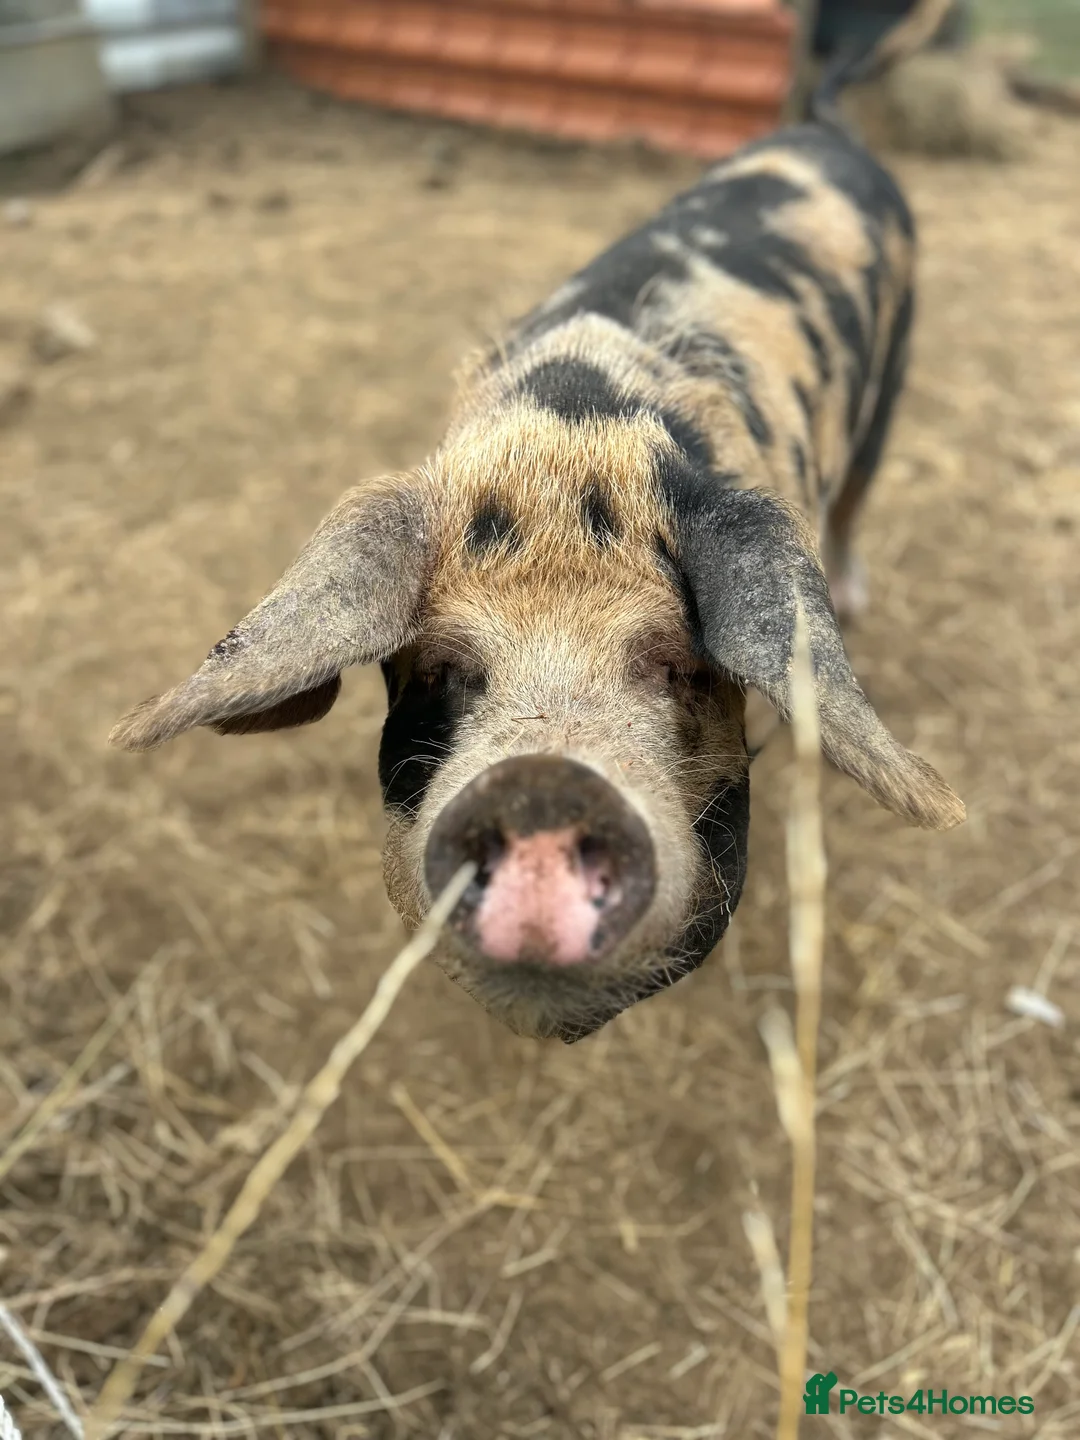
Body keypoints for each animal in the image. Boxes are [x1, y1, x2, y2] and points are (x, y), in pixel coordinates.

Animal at [110, 12, 964, 1043]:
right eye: (439, 666)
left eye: (677, 661)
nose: (545, 780)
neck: (575, 423)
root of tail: (828, 131)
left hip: (896, 375)